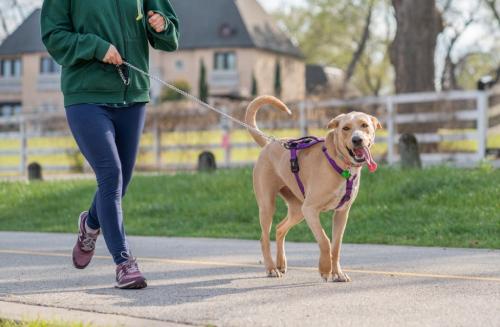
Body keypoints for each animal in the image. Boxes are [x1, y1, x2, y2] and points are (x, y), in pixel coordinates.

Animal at [244, 96, 380, 284]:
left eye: (364, 125)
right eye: (345, 128)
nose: (357, 140)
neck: (341, 164)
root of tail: (269, 143)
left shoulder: (341, 213)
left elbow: (336, 246)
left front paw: (337, 273)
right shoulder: (310, 210)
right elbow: (325, 240)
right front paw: (325, 269)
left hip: (297, 210)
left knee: (280, 228)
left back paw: (281, 263)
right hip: (268, 206)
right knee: (264, 238)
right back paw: (271, 268)